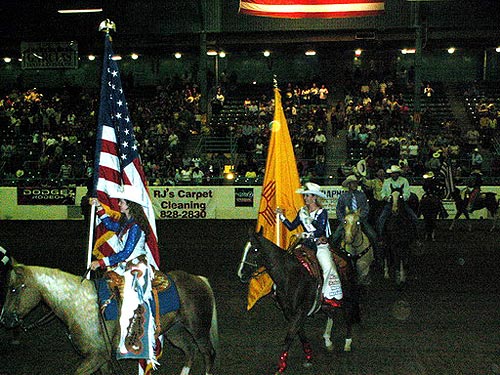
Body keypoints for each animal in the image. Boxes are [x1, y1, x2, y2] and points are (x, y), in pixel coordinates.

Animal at [0, 264, 219, 375]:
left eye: (13, 289)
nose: (5, 319)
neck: (77, 303)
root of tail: (199, 279)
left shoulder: (95, 357)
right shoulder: (103, 359)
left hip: (198, 328)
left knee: (207, 353)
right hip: (175, 331)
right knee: (189, 351)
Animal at [237, 231, 358, 374]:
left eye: (255, 250)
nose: (241, 274)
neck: (290, 276)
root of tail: (346, 254)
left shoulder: (301, 310)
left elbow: (289, 336)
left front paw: (281, 366)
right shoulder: (289, 312)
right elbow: (300, 333)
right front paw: (309, 356)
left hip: (347, 295)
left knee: (348, 314)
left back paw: (347, 343)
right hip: (326, 302)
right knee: (331, 313)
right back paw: (328, 340)